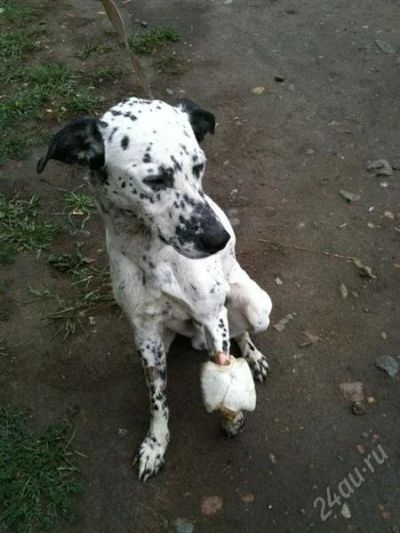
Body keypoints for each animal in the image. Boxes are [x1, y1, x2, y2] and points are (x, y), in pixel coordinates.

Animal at [37, 96, 272, 482]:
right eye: (155, 179)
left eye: (199, 166)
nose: (219, 239)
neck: (152, 254)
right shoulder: (145, 334)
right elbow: (158, 401)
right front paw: (155, 445)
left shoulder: (213, 316)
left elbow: (226, 375)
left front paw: (231, 418)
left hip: (252, 306)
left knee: (243, 333)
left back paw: (253, 356)